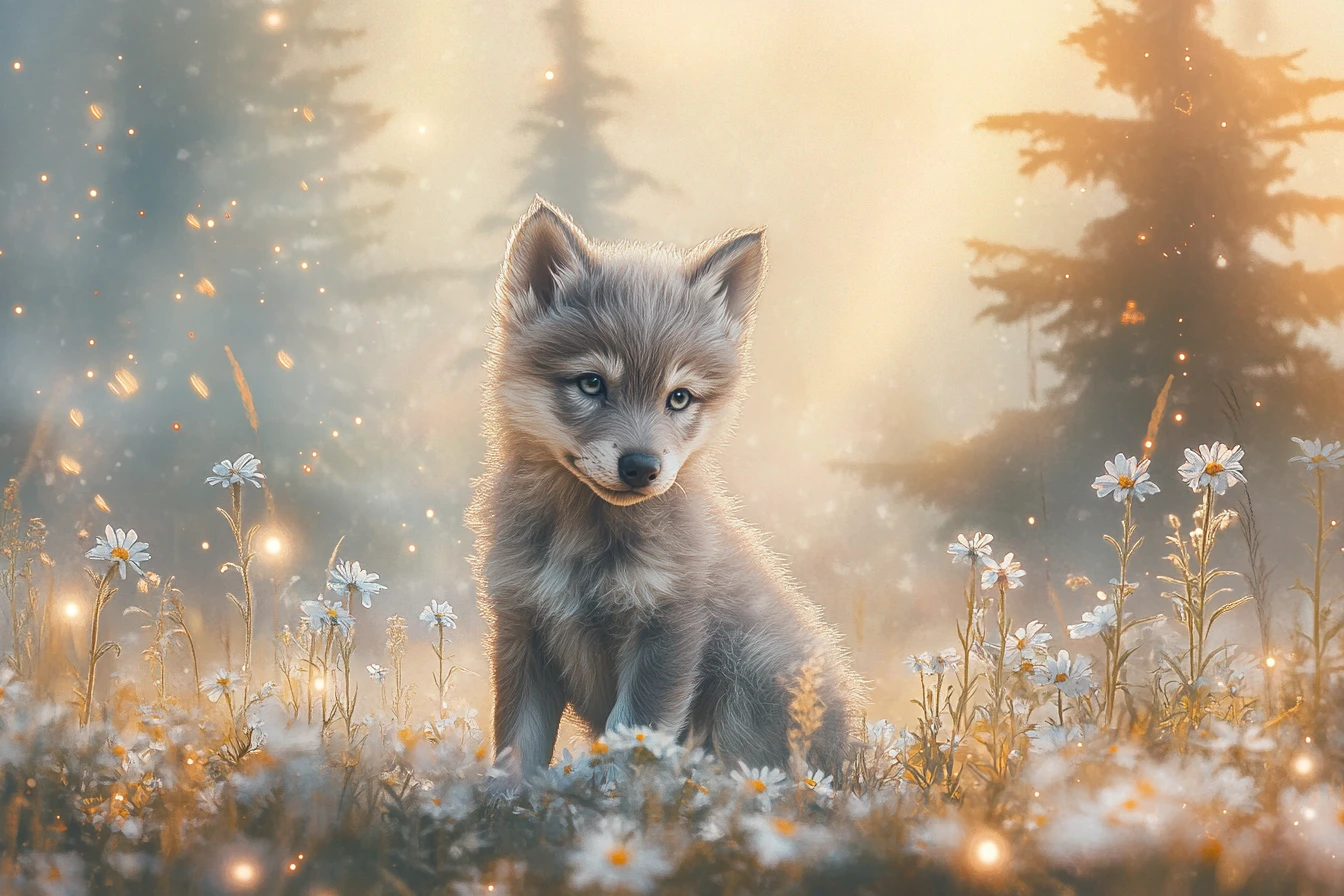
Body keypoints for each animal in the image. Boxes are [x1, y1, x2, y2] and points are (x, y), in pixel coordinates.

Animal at [469, 197, 861, 782]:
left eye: (679, 397)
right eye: (591, 383)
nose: (641, 467)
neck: (580, 545)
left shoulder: (667, 630)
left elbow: (626, 742)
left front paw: (606, 801)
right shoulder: (522, 627)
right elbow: (515, 755)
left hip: (747, 673)